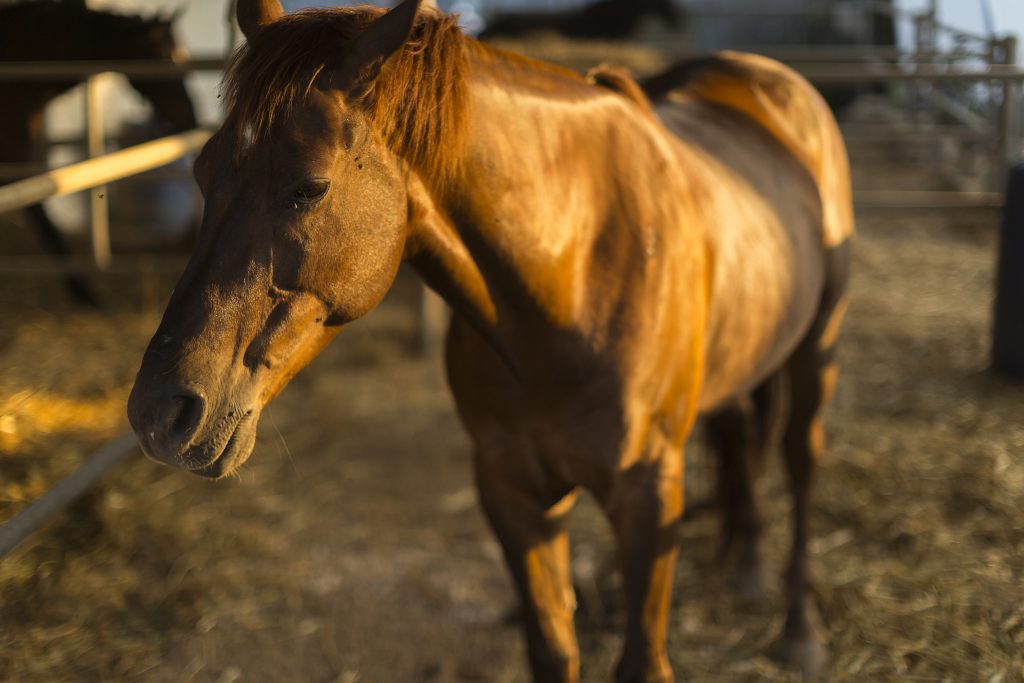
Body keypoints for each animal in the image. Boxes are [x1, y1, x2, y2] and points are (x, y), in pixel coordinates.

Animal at [127, 1, 853, 680]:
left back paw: (802, 630)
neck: (574, 275)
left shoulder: (649, 496)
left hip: (818, 350)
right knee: (739, 431)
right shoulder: (511, 491)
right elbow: (552, 650)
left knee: (801, 458)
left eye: (309, 187)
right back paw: (746, 560)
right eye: (202, 170)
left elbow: (642, 661)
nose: (160, 413)